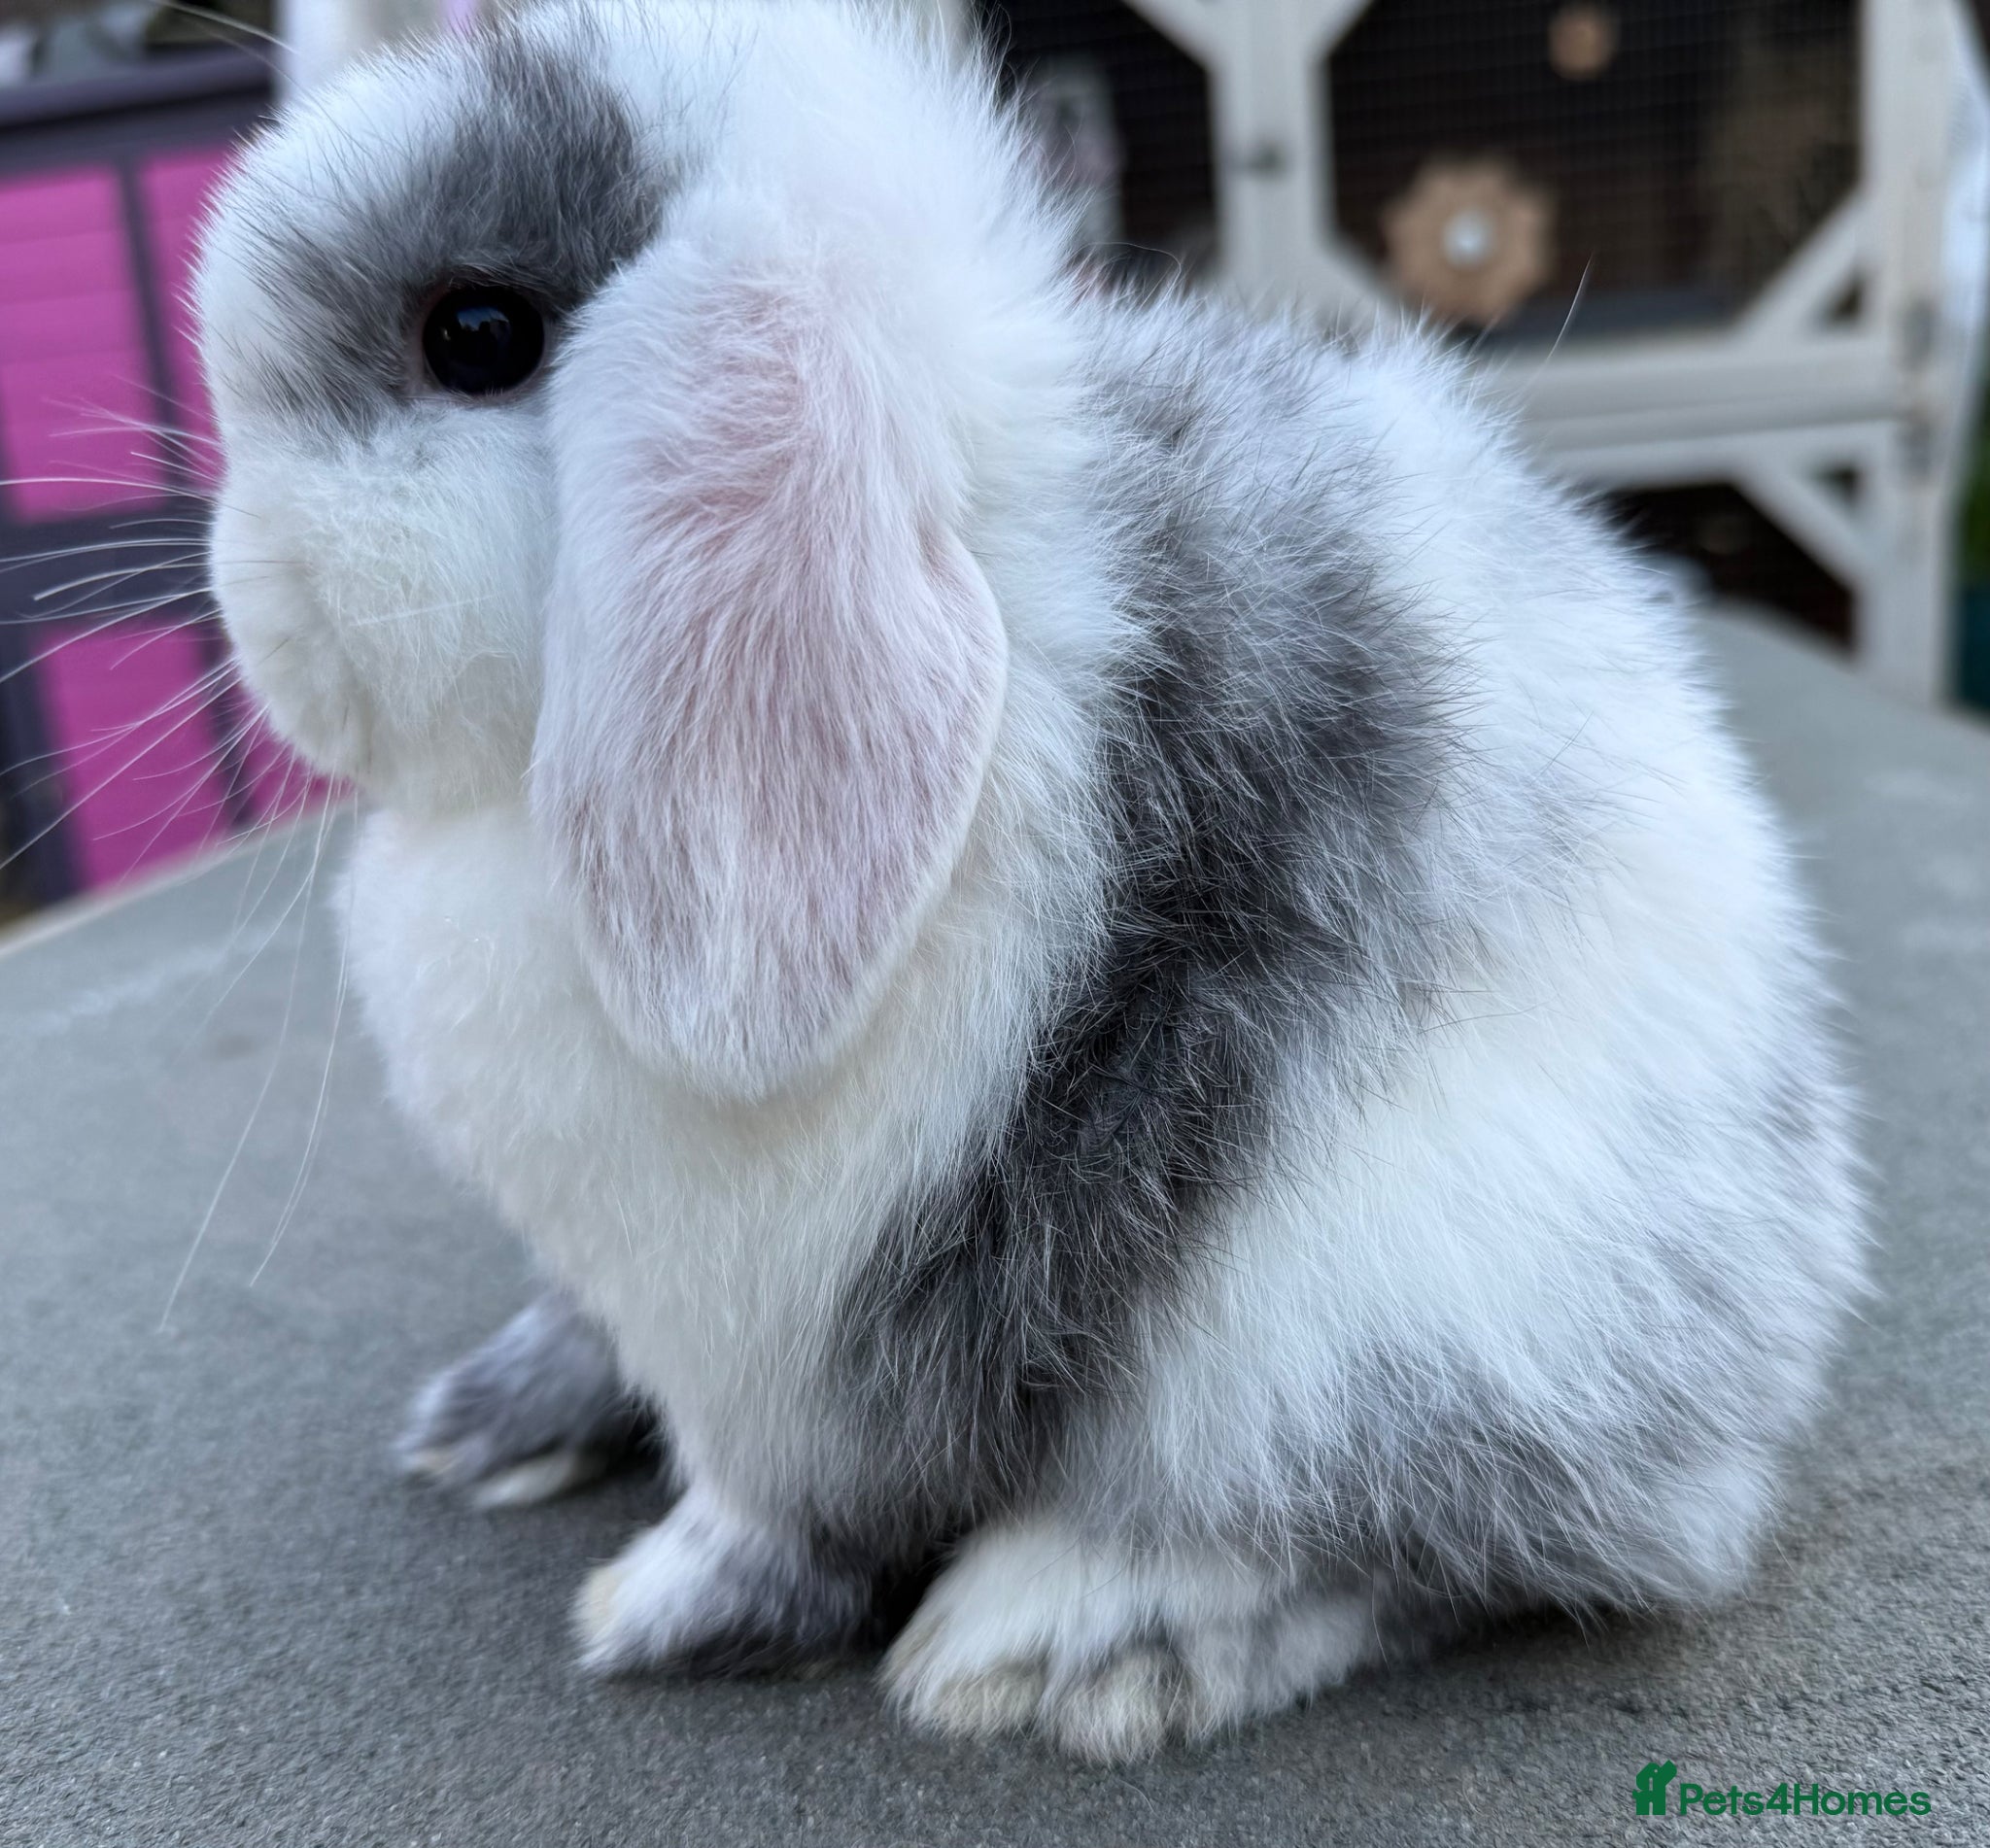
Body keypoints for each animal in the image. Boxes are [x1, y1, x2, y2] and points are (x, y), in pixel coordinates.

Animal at [195, 0, 1866, 1761]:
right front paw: (504, 1428)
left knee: (1412, 1545)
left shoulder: (773, 1340)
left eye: (477, 334)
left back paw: (1063, 1639)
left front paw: (662, 1608)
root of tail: (1766, 1360)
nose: (254, 605)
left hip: (1364, 1325)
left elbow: (767, 1505)